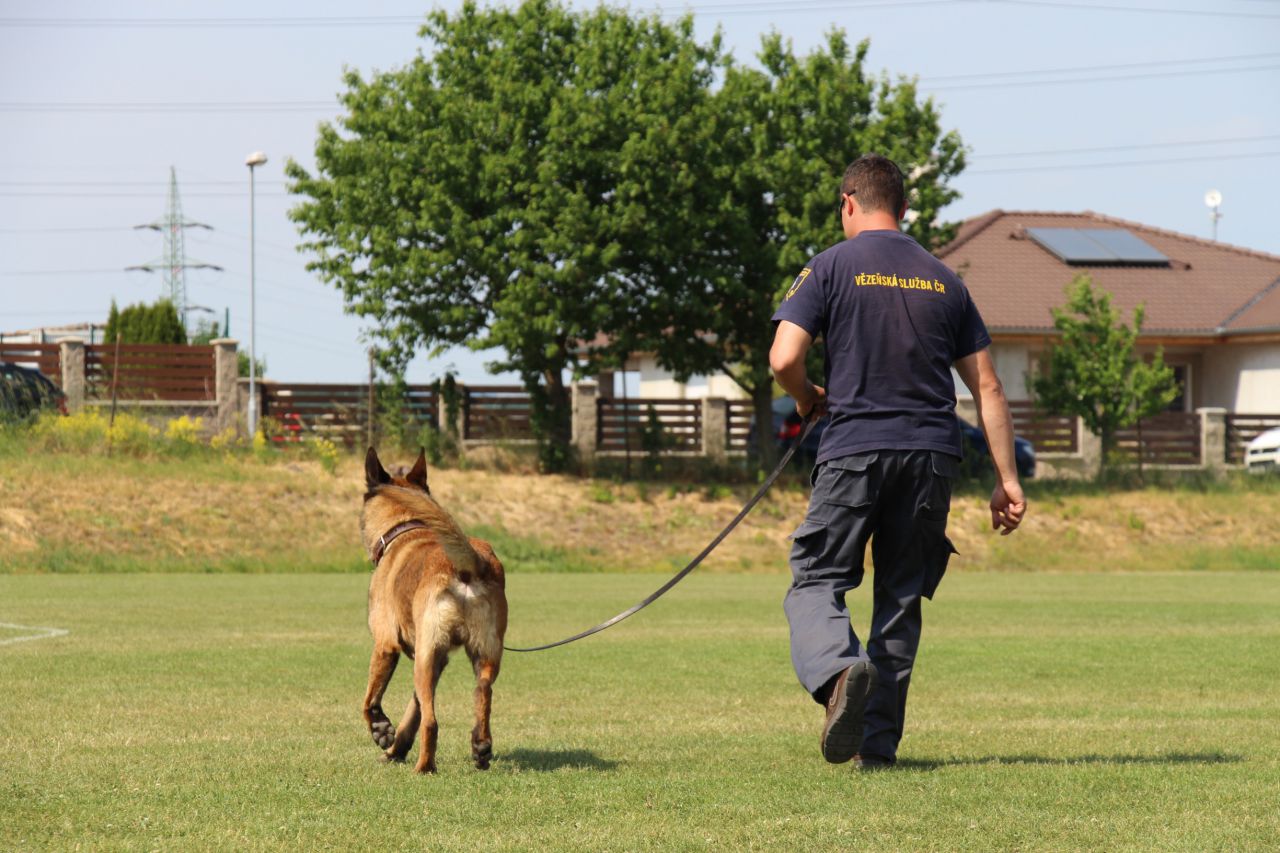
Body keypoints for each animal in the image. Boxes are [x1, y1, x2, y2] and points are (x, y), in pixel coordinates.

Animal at [360, 447, 508, 773]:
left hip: (425, 658)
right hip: (484, 654)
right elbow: (412, 711)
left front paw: (381, 730)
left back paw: (424, 767)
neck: (404, 527)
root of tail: (470, 565)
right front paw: (396, 748)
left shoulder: (386, 644)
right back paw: (480, 746)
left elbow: (370, 699)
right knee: (483, 693)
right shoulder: (439, 660)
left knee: (432, 722)